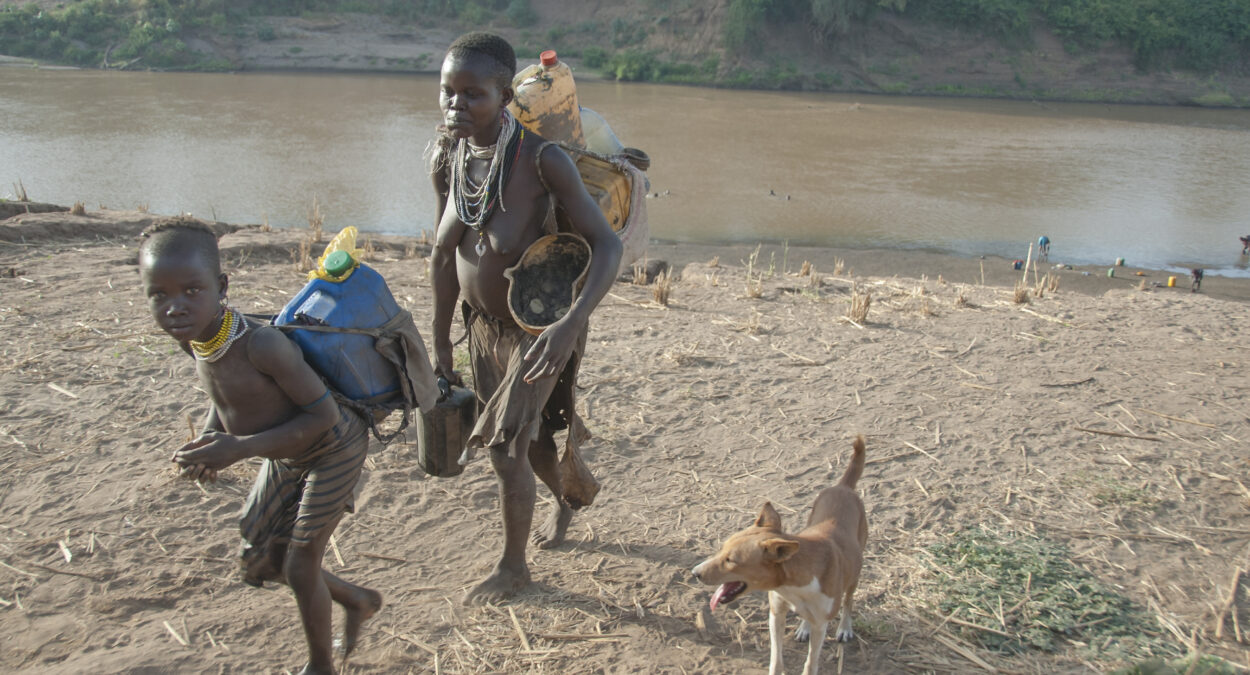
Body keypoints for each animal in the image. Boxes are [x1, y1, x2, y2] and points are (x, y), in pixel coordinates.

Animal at [690, 437, 865, 675]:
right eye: (721, 550)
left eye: (731, 560)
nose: (695, 573)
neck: (793, 585)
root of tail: (843, 487)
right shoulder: (776, 613)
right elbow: (776, 658)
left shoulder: (821, 623)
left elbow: (810, 663)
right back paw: (803, 627)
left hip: (854, 575)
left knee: (848, 602)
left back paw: (844, 627)